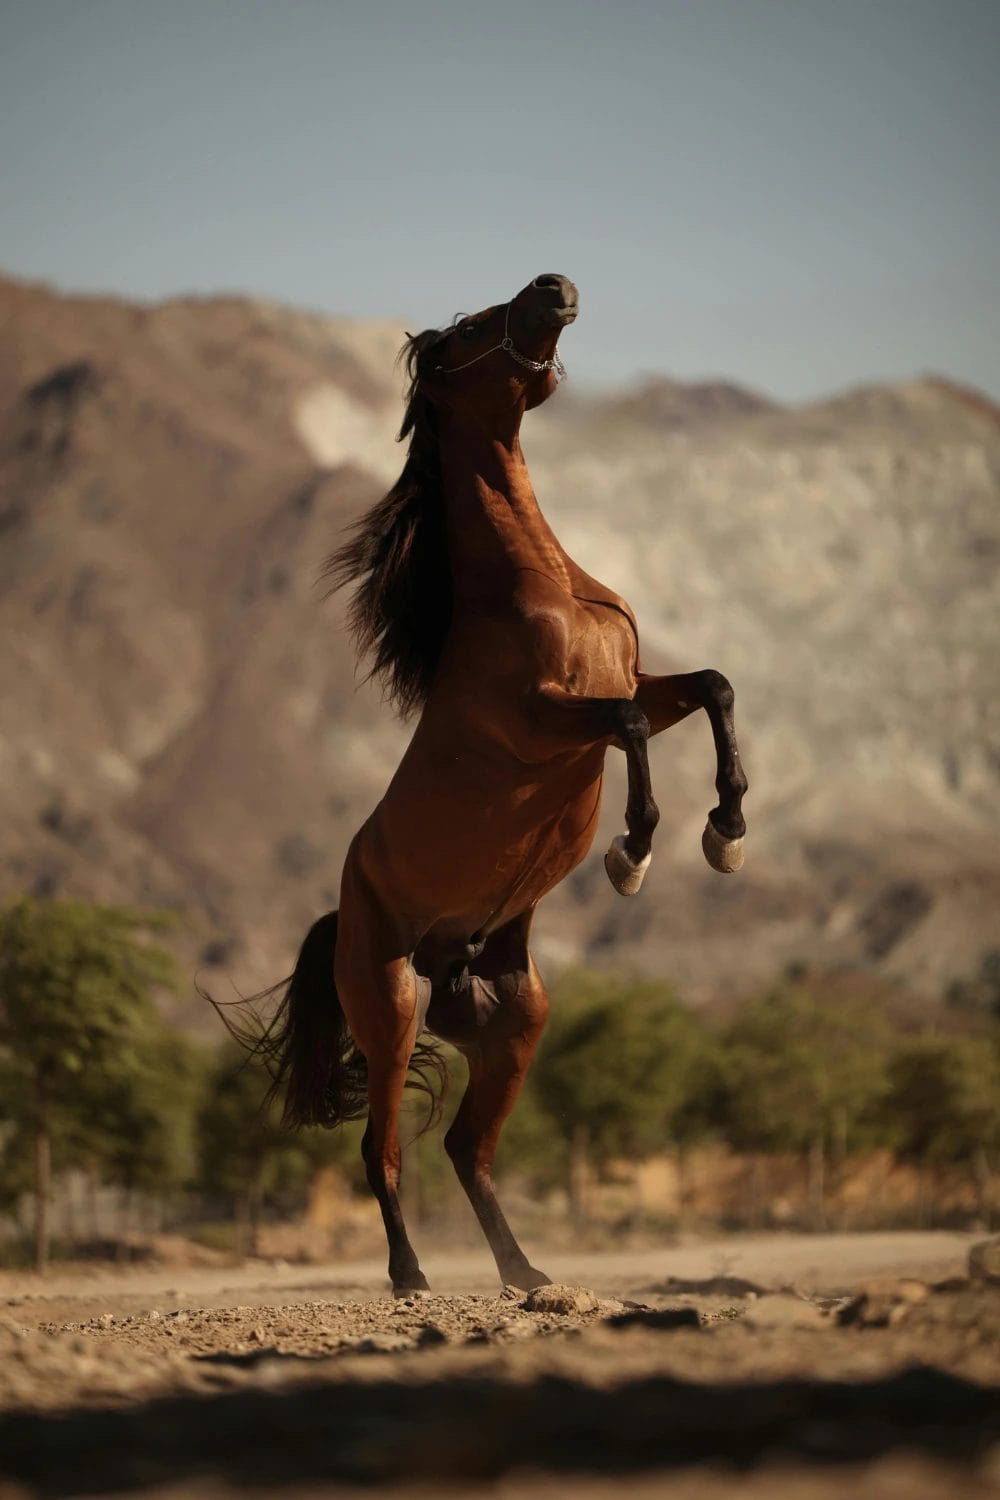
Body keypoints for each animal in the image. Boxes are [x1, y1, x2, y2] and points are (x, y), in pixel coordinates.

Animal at [239, 273, 748, 1295]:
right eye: (471, 328)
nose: (556, 289)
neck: (538, 586)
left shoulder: (636, 681)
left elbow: (711, 686)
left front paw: (728, 831)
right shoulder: (550, 723)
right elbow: (631, 730)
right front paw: (633, 852)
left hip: (515, 1022)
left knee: (467, 1151)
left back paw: (527, 1275)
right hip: (389, 1011)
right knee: (383, 1151)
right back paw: (410, 1277)